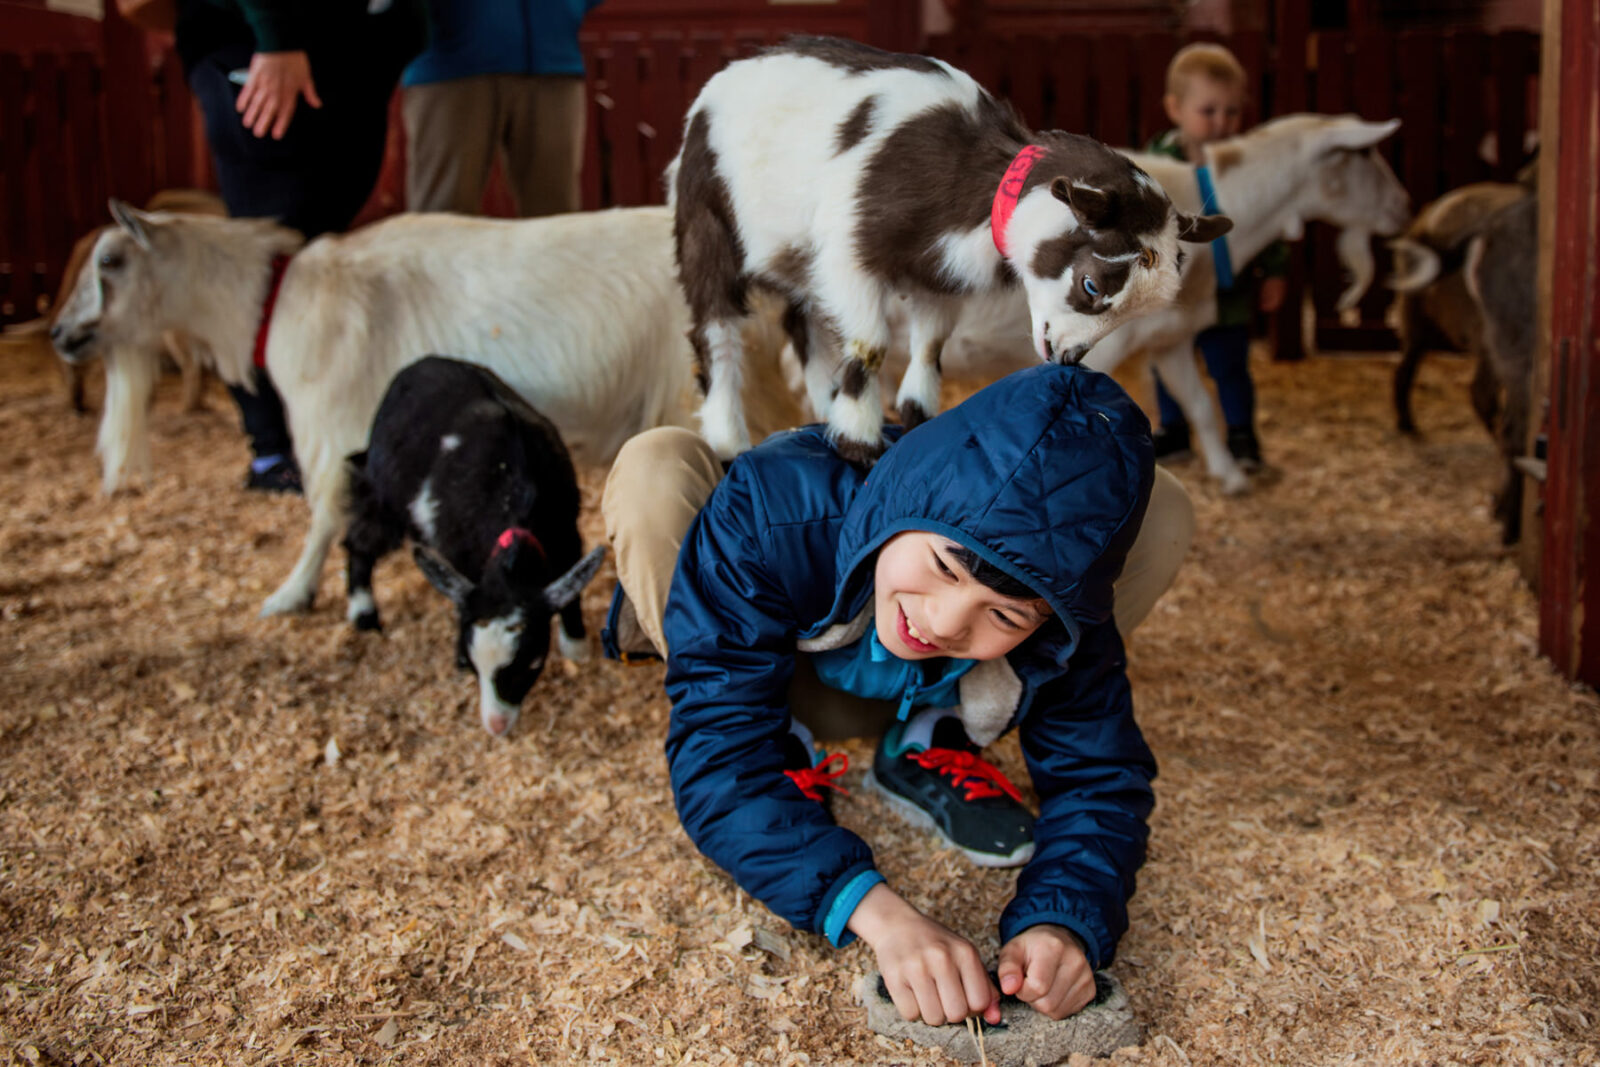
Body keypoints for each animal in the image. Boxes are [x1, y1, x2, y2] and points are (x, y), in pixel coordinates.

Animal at [51, 204, 793, 617]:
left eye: (111, 260)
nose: (59, 334)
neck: (279, 298)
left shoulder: (337, 428)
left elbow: (326, 517)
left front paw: (291, 594)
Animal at [344, 355, 604, 739]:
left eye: (531, 664)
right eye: (469, 664)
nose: (496, 727)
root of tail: (420, 364)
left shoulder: (568, 536)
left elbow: (571, 594)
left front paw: (577, 647)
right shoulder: (461, 555)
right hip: (384, 494)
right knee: (358, 539)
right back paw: (363, 614)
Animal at [668, 32, 1228, 460]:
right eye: (1092, 284)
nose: (1068, 356)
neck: (970, 183)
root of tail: (721, 80)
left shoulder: (937, 277)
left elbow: (931, 346)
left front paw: (914, 418)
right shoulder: (849, 253)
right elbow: (870, 345)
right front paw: (859, 441)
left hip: (794, 257)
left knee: (801, 324)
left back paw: (821, 412)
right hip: (705, 222)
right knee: (715, 330)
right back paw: (729, 440)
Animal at [876, 110, 1414, 495]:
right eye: (1366, 156)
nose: (1404, 210)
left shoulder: (1170, 340)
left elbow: (1200, 404)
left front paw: (1229, 475)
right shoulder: (1100, 351)